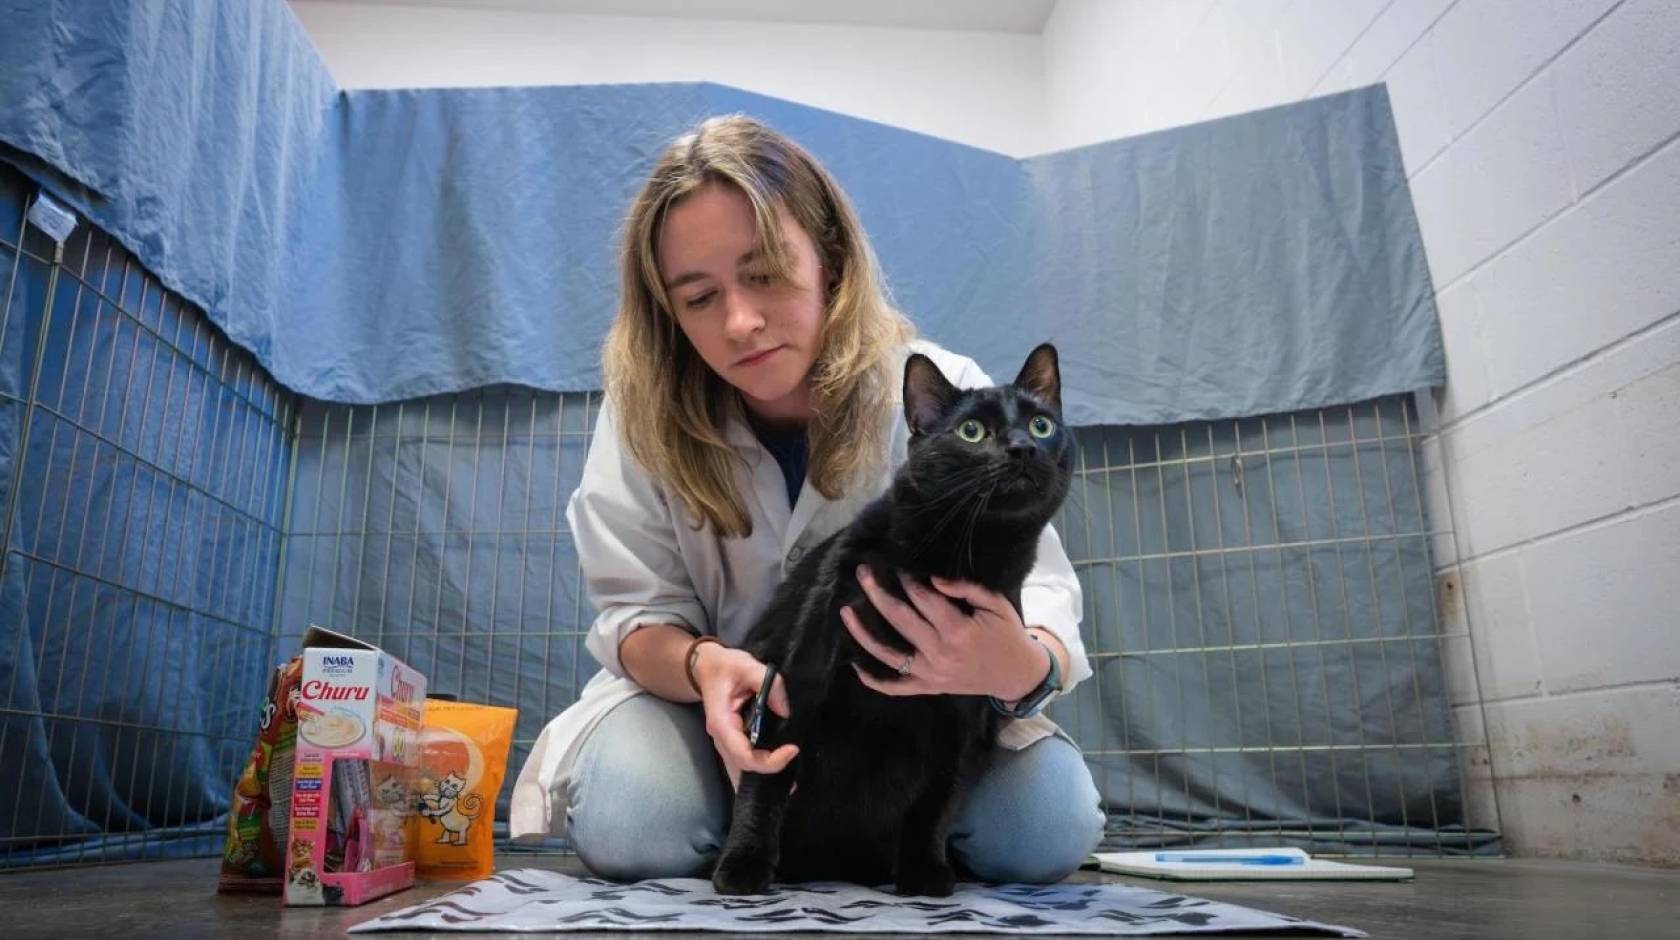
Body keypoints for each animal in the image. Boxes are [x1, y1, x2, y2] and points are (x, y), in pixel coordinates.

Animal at [712, 344, 1075, 893]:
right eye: (972, 431)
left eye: (1041, 424)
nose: (1021, 448)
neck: (956, 556)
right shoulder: (794, 680)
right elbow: (767, 775)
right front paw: (744, 867)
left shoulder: (965, 719)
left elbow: (937, 804)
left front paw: (925, 873)